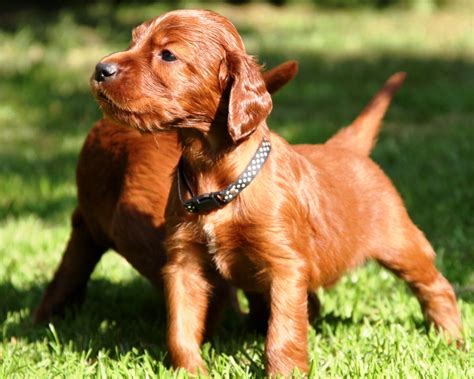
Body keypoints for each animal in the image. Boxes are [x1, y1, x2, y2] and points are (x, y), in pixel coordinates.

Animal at [87, 8, 462, 378]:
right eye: (133, 42)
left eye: (167, 54)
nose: (100, 69)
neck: (220, 177)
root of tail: (345, 148)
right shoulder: (184, 261)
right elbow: (181, 327)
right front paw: (189, 371)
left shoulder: (285, 265)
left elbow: (283, 333)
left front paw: (285, 372)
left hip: (400, 242)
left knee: (435, 285)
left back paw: (452, 339)